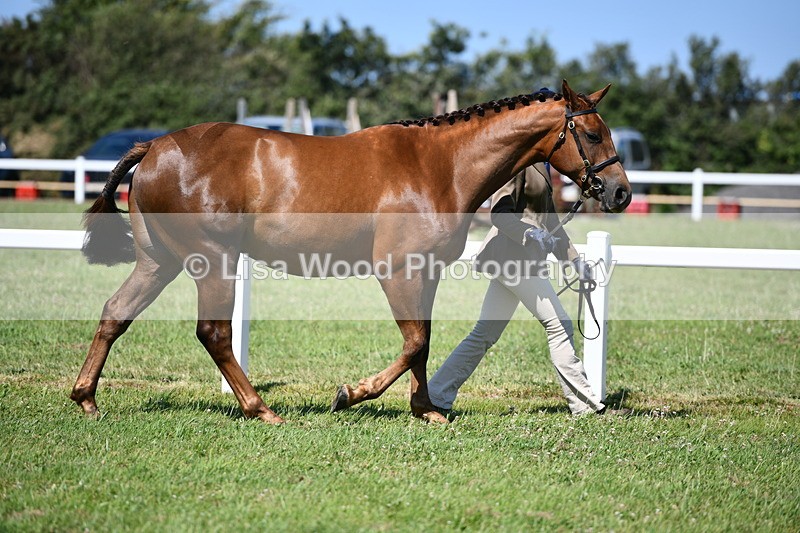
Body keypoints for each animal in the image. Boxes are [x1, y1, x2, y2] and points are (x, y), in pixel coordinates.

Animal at [72, 80, 631, 425]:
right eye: (591, 133)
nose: (621, 193)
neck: (440, 166)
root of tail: (155, 146)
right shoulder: (397, 270)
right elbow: (413, 342)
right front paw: (353, 393)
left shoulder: (426, 271)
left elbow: (423, 342)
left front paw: (426, 408)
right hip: (213, 262)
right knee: (213, 333)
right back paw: (260, 409)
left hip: (159, 262)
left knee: (114, 314)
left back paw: (86, 399)